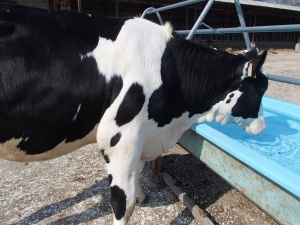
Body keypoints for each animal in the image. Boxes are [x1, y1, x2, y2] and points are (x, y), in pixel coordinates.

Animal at [0, 3, 268, 225]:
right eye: (263, 88)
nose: (263, 127)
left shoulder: (141, 136)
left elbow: (138, 172)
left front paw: (141, 194)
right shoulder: (120, 138)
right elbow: (123, 204)